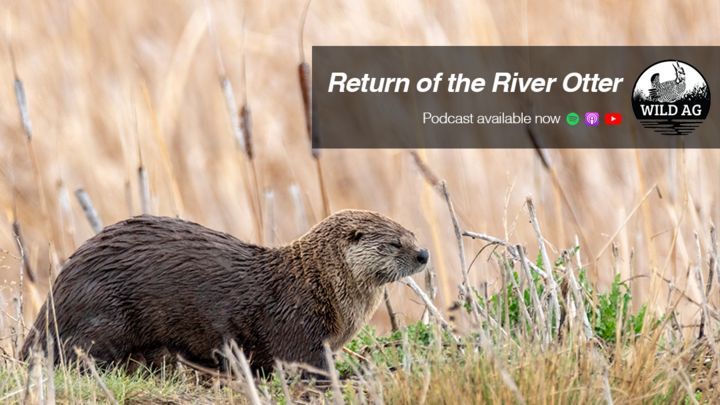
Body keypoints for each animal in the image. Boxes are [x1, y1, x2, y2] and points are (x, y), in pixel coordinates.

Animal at [21, 209, 429, 373]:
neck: (315, 286)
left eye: (412, 233)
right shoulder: (298, 331)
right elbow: (305, 366)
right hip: (102, 315)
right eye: (394, 243)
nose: (423, 253)